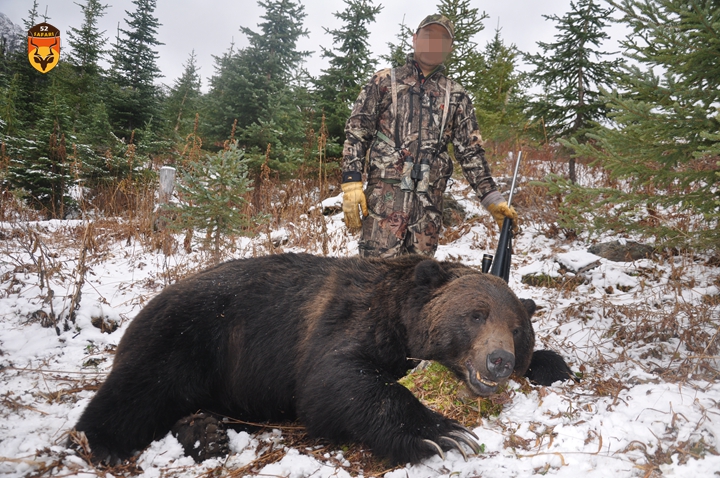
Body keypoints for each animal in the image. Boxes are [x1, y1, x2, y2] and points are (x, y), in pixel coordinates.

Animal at [70, 252, 572, 464]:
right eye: (475, 315)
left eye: (517, 329)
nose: (498, 361)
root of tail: (146, 304)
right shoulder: (350, 320)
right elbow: (334, 380)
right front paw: (443, 433)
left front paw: (556, 364)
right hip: (191, 335)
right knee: (140, 389)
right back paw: (103, 443)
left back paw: (205, 435)